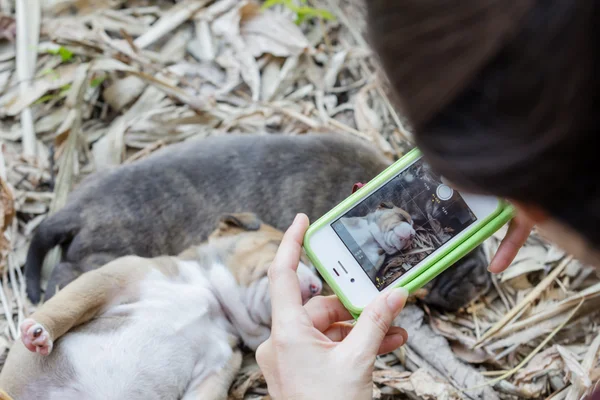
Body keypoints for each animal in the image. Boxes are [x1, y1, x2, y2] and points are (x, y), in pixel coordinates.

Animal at [0, 214, 322, 398]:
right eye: (279, 246)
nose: (317, 287)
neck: (213, 302)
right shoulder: (112, 278)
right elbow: (70, 305)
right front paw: (40, 331)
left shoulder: (215, 370)